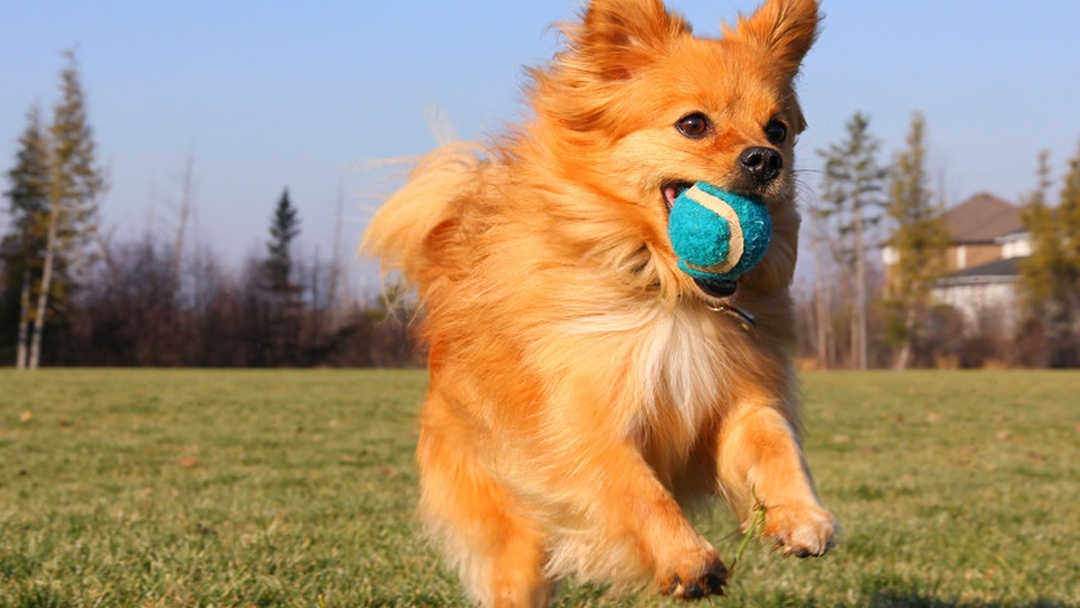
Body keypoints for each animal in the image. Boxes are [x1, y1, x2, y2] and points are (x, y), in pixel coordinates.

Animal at [365, 0, 833, 604]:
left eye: (778, 130)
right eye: (693, 124)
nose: (766, 159)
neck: (669, 295)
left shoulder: (740, 401)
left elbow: (777, 445)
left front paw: (802, 516)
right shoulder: (585, 420)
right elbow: (637, 488)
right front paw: (686, 558)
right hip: (517, 542)